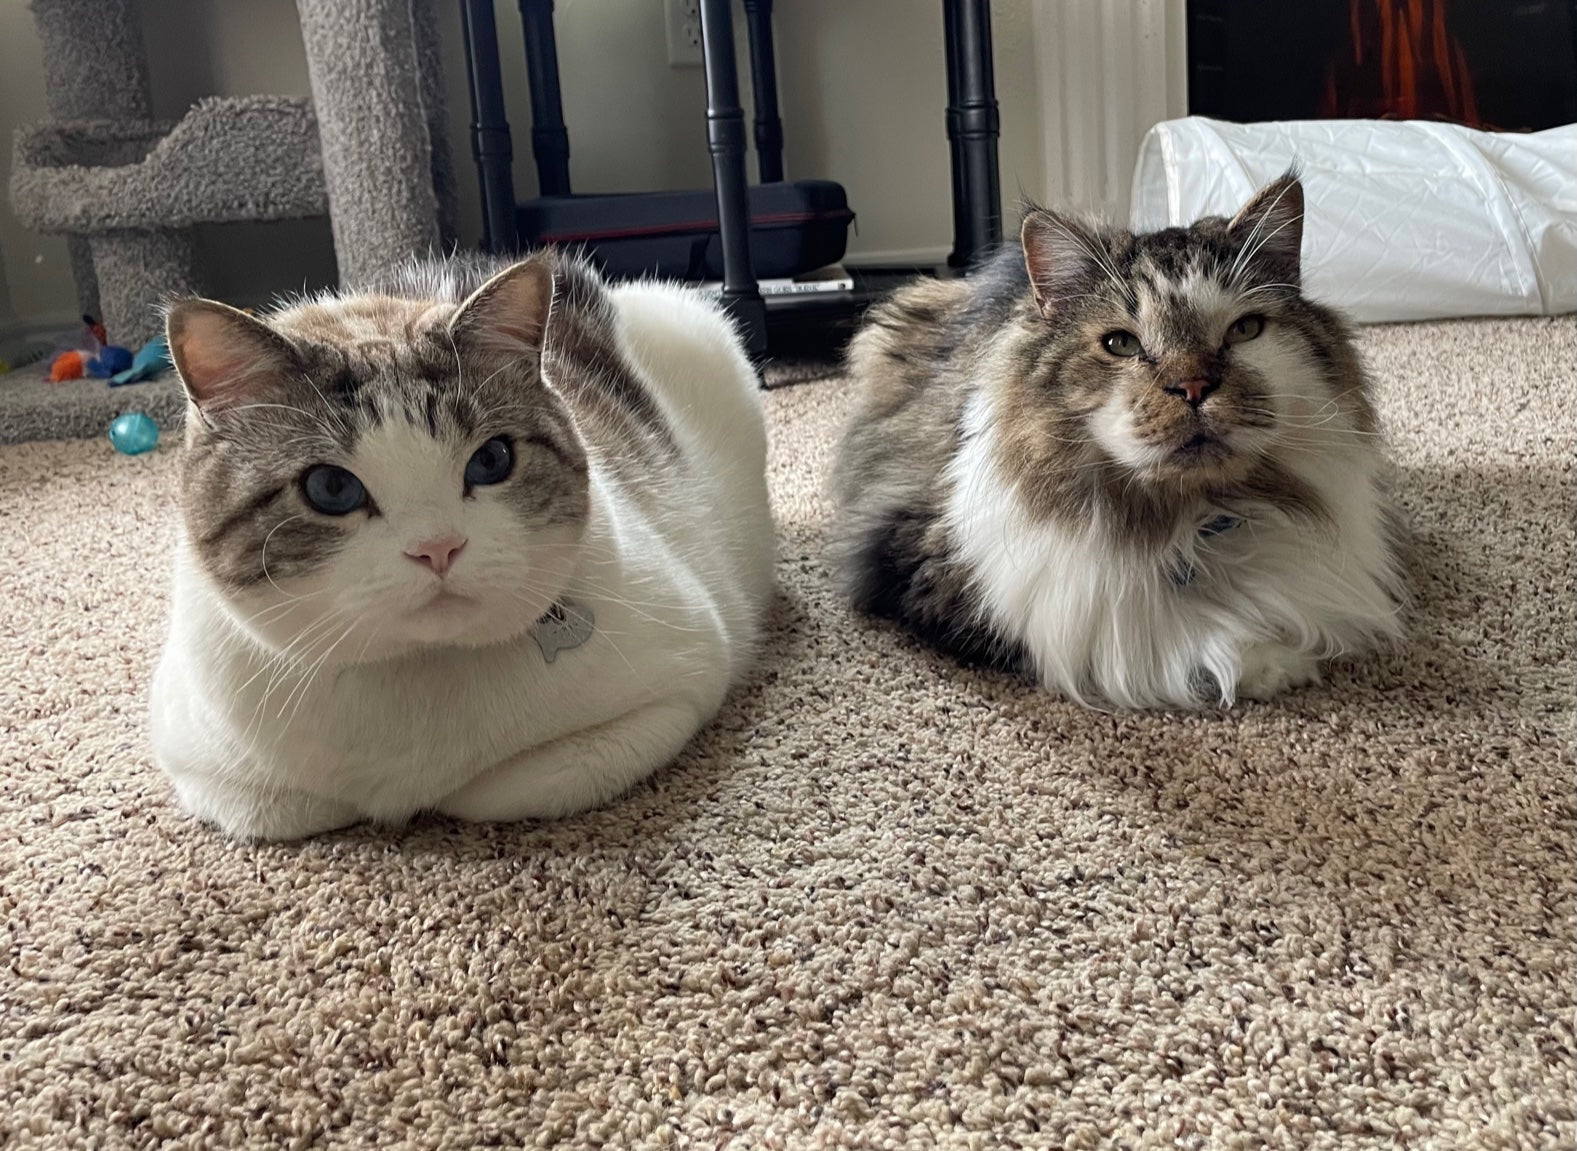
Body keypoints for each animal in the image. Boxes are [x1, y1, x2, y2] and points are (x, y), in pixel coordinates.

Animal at [150, 249, 779, 832]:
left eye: (492, 460)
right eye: (330, 488)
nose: (438, 547)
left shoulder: (683, 685)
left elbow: (495, 789)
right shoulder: (201, 766)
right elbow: (292, 806)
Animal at [832, 173, 1412, 703]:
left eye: (1245, 330)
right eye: (1120, 344)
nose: (1193, 387)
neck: (1187, 521)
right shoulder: (928, 566)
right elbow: (1177, 643)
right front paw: (1269, 664)